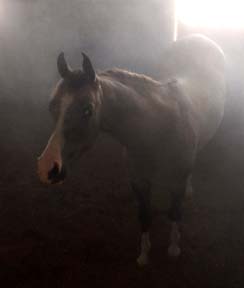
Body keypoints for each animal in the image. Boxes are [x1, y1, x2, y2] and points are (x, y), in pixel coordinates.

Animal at [37, 35, 226, 266]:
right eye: (52, 106)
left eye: (88, 110)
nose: (47, 168)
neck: (157, 129)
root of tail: (199, 38)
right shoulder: (138, 180)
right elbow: (144, 215)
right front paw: (144, 254)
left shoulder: (177, 181)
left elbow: (175, 212)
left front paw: (173, 248)